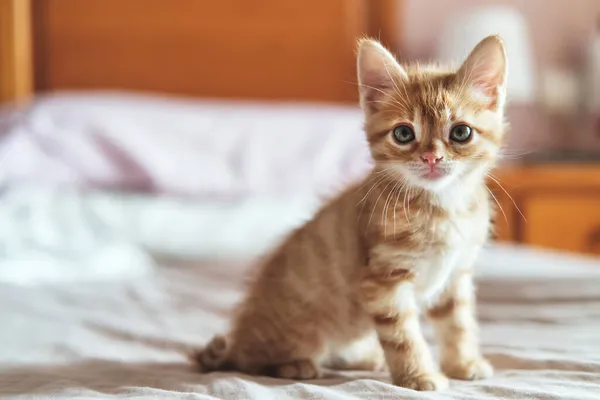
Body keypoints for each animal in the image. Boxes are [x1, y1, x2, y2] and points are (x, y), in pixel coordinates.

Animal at [196, 34, 506, 390]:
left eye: (461, 132)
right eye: (403, 134)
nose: (432, 158)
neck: (442, 206)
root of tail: (237, 340)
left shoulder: (455, 277)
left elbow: (458, 324)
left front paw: (462, 363)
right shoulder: (383, 282)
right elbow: (403, 337)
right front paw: (419, 376)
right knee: (248, 361)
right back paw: (294, 365)